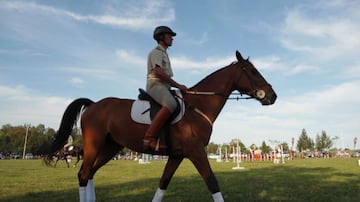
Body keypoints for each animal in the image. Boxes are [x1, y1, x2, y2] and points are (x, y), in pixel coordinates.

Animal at [43, 51, 278, 202]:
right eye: (252, 71)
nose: (273, 96)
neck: (198, 105)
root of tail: (93, 105)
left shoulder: (177, 155)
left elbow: (163, 184)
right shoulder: (196, 151)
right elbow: (212, 183)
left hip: (111, 147)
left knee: (90, 174)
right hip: (94, 145)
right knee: (84, 175)